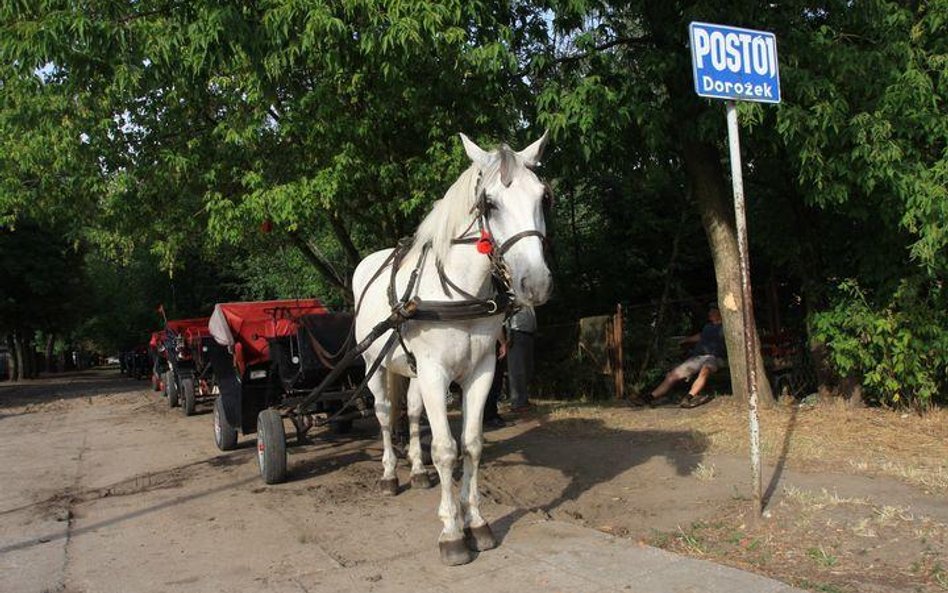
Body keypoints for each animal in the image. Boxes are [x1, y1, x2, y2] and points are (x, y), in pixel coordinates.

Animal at [352, 131, 552, 564]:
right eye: (489, 203)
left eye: (544, 197)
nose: (536, 284)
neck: (459, 293)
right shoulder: (436, 373)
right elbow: (445, 449)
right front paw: (452, 532)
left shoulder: (482, 372)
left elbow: (472, 446)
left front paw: (476, 522)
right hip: (376, 366)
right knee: (384, 414)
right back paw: (390, 474)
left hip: (411, 372)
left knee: (411, 414)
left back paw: (417, 471)